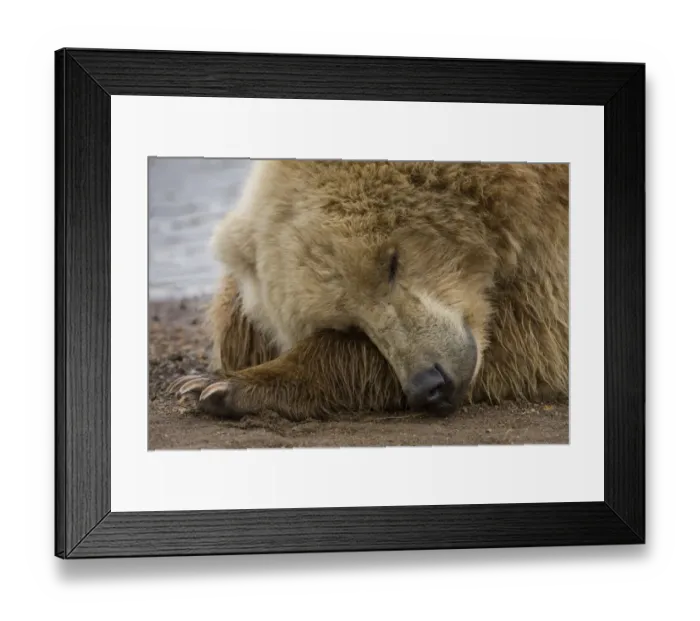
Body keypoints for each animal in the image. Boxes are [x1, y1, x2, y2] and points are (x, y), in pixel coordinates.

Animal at [168, 159, 569, 421]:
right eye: (349, 323)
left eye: (390, 263)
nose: (430, 383)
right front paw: (205, 381)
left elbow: (534, 342)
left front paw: (216, 386)